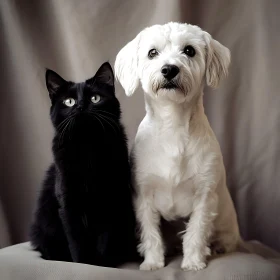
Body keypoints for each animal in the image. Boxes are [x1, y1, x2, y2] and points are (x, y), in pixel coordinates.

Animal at [30, 63, 138, 266]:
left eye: (95, 98)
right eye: (69, 102)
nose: (80, 106)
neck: (87, 146)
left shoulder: (110, 199)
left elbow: (104, 239)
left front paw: (102, 264)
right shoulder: (68, 205)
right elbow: (77, 241)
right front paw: (83, 264)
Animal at [115, 21, 240, 272]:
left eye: (189, 50)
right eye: (152, 52)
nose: (169, 69)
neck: (172, 125)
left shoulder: (204, 196)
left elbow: (196, 232)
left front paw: (193, 262)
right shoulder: (143, 196)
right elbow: (150, 233)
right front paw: (152, 262)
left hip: (228, 230)